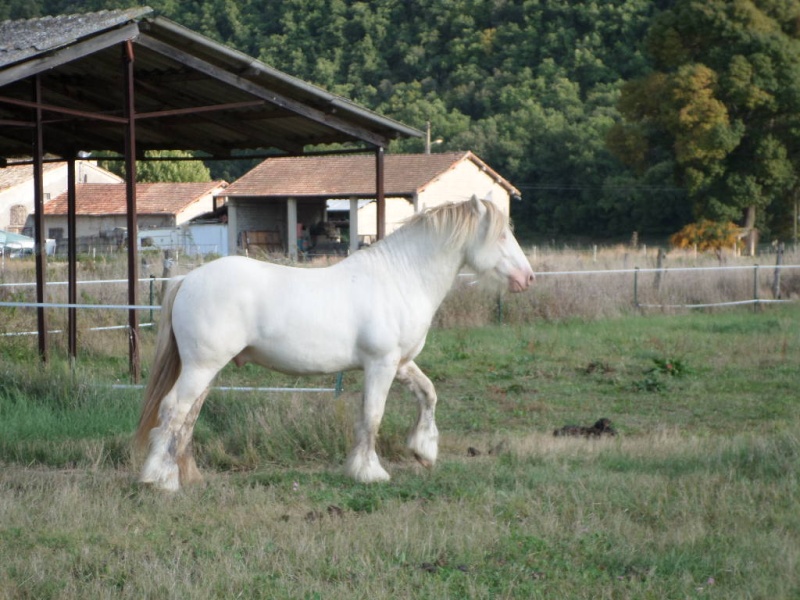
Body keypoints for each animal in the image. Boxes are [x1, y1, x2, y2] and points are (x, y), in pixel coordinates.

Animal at [134, 195, 536, 490]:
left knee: (187, 419)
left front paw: (424, 451)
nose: (527, 278)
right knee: (173, 411)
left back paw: (186, 476)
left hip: (206, 371)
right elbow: (372, 416)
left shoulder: (401, 364)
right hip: (201, 368)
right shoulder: (381, 364)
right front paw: (369, 472)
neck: (400, 277)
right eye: (501, 235)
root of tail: (187, 279)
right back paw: (159, 479)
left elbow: (428, 394)